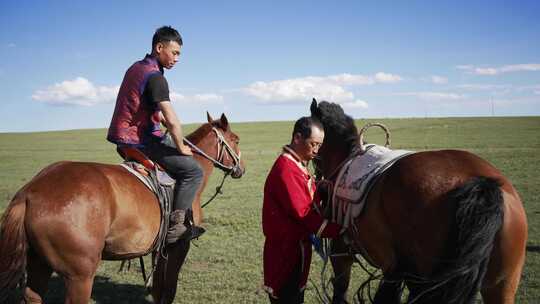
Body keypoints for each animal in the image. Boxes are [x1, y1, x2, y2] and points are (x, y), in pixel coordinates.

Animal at [0, 113, 245, 304]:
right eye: (236, 140)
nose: (241, 168)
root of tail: (29, 192)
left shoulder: (160, 247)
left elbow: (158, 288)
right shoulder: (179, 246)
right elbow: (169, 290)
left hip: (38, 263)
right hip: (79, 275)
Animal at [310, 101, 528, 304]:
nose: (319, 185)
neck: (346, 155)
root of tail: (482, 184)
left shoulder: (341, 251)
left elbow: (340, 291)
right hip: (502, 284)